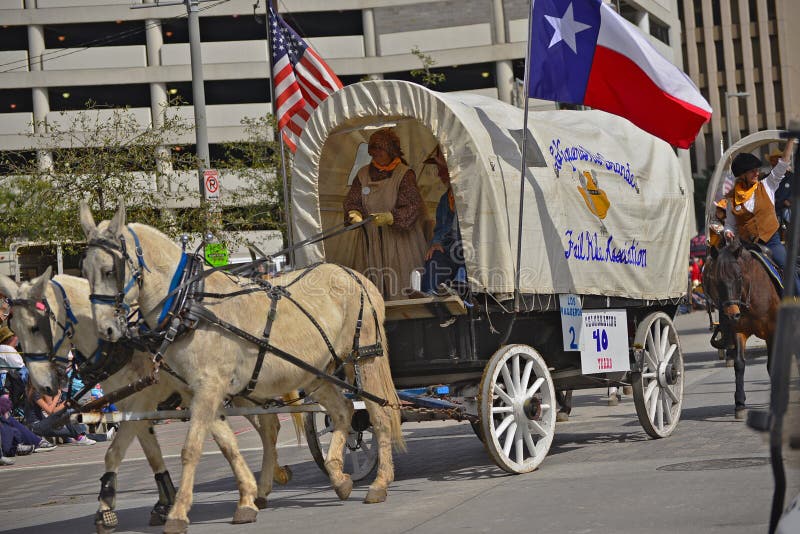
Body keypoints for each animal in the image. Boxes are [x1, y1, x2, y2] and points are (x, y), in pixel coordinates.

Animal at [0, 274, 298, 532]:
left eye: (36, 327)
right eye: (13, 326)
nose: (43, 385)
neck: (121, 344)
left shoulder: (148, 400)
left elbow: (115, 452)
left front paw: (107, 508)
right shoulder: (133, 405)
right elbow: (153, 454)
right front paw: (164, 503)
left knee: (268, 426)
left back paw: (266, 482)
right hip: (246, 390)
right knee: (269, 424)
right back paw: (268, 481)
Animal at [80, 202, 404, 534]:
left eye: (109, 271)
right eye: (85, 271)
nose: (106, 329)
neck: (189, 305)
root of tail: (355, 275)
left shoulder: (207, 388)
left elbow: (191, 449)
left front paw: (178, 513)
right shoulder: (196, 392)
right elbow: (226, 444)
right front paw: (247, 499)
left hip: (363, 358)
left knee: (379, 416)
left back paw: (379, 483)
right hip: (315, 372)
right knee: (343, 412)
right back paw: (338, 477)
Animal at [708, 239, 780, 418]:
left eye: (738, 276)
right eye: (716, 279)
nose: (731, 315)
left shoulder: (772, 333)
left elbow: (771, 365)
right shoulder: (739, 332)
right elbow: (739, 364)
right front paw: (740, 403)